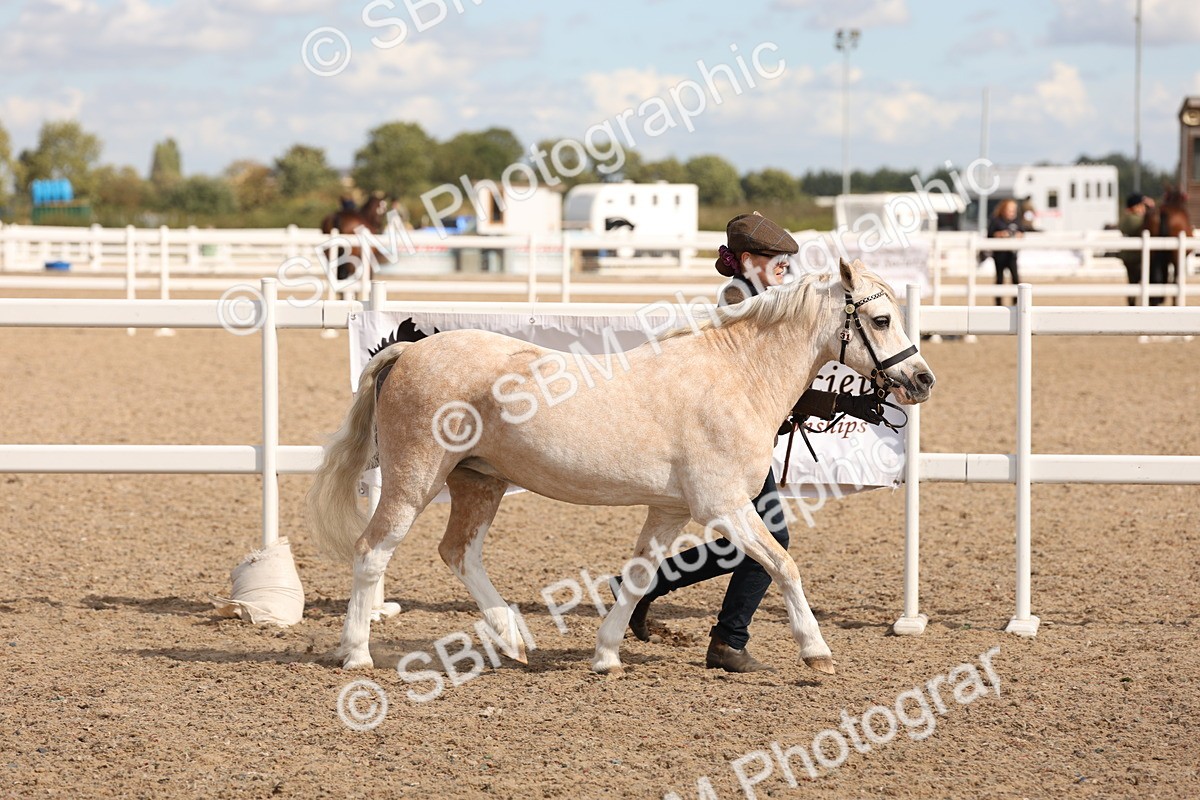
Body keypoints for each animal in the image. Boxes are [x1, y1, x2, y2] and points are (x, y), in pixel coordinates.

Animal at [306, 258, 936, 676]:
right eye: (882, 319)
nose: (922, 378)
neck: (735, 376)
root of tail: (408, 350)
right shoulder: (723, 506)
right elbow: (783, 565)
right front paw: (816, 651)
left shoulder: (670, 509)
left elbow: (638, 576)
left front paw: (607, 653)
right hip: (414, 482)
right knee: (372, 552)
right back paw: (357, 654)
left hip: (481, 482)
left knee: (458, 553)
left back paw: (512, 639)